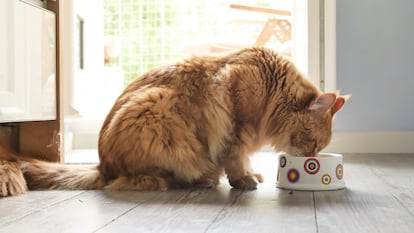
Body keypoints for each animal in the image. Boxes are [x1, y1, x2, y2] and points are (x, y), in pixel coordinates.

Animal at [0, 46, 348, 196]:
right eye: (314, 144)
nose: (312, 158)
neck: (270, 88)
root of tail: (102, 165)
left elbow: (245, 160)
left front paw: (251, 174)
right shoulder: (235, 129)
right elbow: (236, 161)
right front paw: (244, 180)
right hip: (155, 115)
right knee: (128, 181)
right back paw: (189, 181)